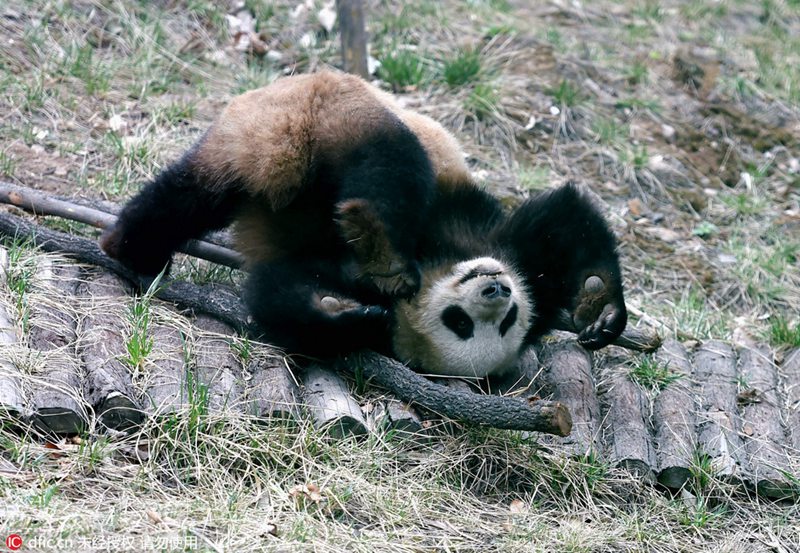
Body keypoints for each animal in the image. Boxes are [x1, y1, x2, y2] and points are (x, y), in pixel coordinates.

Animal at [100, 70, 624, 376]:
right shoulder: (477, 236)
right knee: (390, 158)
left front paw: (340, 313)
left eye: (505, 321)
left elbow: (282, 295)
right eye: (459, 321)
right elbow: (562, 220)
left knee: (194, 195)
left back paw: (132, 246)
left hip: (265, 136)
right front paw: (601, 309)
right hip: (329, 107)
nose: (497, 289)